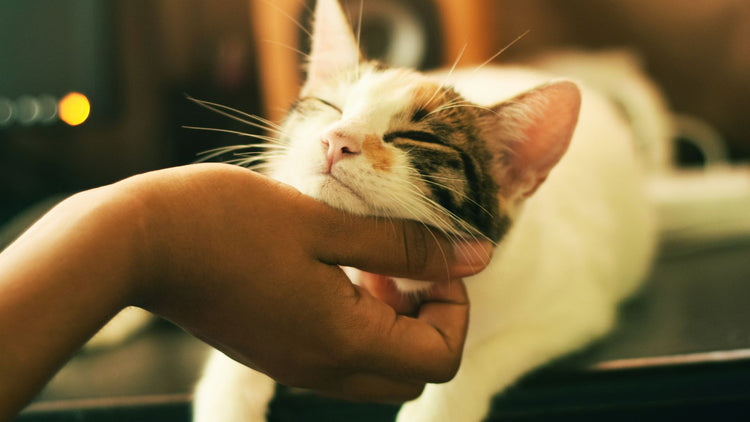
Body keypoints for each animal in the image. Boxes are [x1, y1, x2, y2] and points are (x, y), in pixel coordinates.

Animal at [194, 1, 664, 420]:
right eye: (331, 108)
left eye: (416, 138)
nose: (337, 139)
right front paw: (227, 400)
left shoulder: (574, 311)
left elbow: (473, 362)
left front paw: (437, 407)